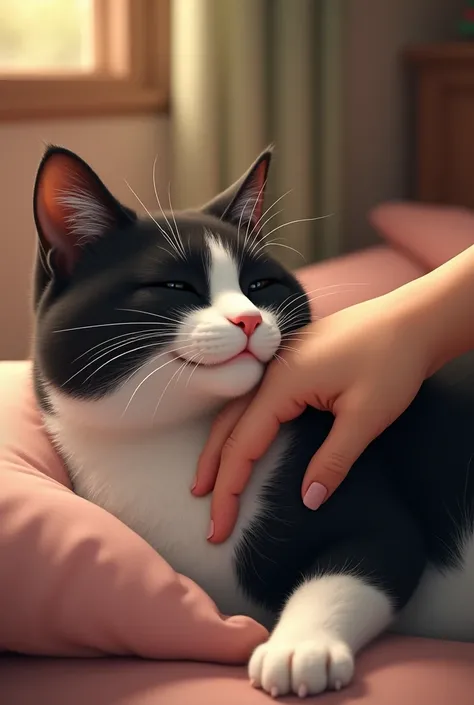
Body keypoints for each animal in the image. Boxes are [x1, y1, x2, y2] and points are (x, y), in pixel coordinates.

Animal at [31, 144, 474, 700]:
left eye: (260, 284)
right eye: (174, 285)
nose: (249, 319)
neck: (176, 443)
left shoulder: (358, 493)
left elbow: (366, 557)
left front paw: (299, 649)